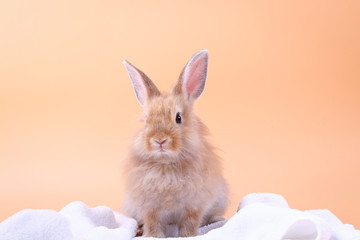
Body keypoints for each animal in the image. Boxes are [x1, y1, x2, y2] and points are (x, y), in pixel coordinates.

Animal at [121, 49, 228, 237]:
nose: (159, 140)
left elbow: (189, 223)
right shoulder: (150, 207)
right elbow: (153, 223)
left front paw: (188, 236)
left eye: (178, 118)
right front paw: (153, 236)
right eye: (147, 120)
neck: (166, 164)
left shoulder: (194, 205)